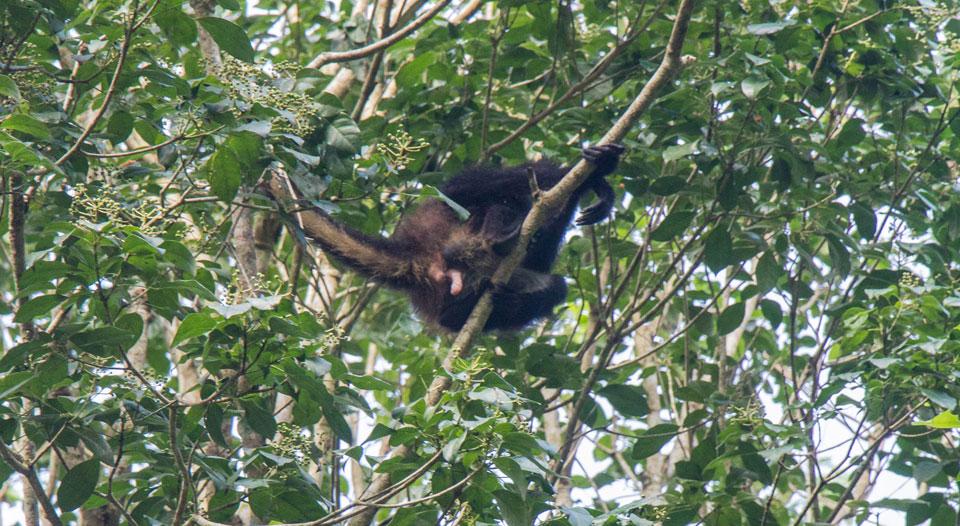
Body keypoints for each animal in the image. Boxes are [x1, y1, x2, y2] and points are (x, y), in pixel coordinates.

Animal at [262, 143, 625, 332]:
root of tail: (416, 253)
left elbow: (539, 257)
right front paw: (599, 174)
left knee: (552, 287)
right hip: (452, 221)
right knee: (479, 188)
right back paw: (498, 237)